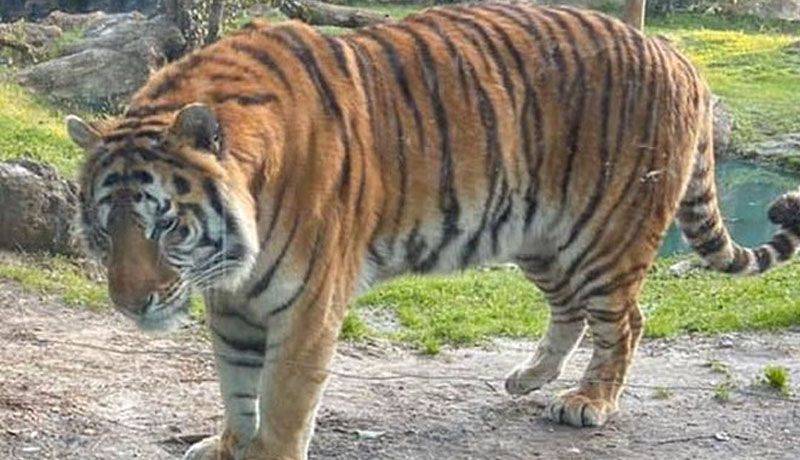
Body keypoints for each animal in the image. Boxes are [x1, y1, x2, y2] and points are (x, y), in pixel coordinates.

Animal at [65, 2, 800, 459]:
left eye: (167, 225)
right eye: (104, 227)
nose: (130, 304)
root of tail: (678, 57)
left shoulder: (304, 308)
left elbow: (280, 401)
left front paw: (264, 449)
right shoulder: (234, 304)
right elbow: (236, 387)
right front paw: (226, 443)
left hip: (608, 234)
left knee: (626, 320)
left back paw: (588, 401)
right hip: (541, 234)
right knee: (570, 310)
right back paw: (528, 379)